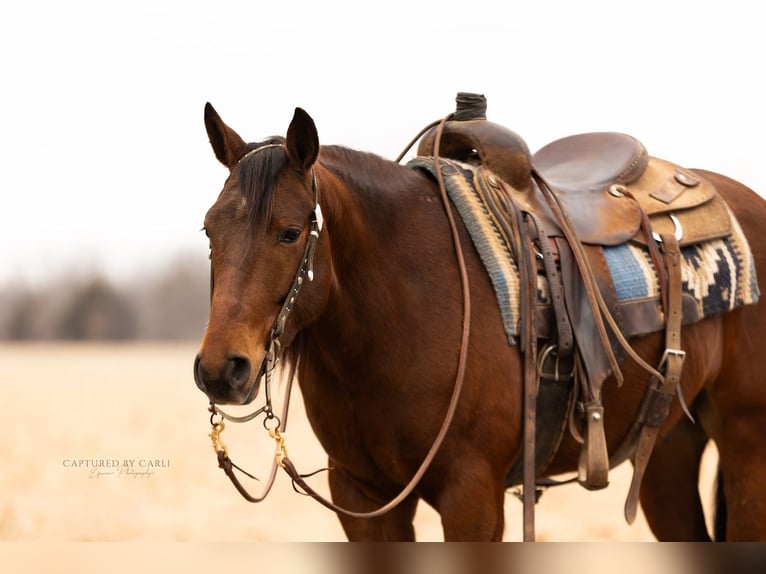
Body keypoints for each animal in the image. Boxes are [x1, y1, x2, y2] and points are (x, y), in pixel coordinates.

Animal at [193, 101, 766, 541]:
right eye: (208, 230)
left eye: (290, 233)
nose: (222, 370)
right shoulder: (362, 496)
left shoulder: (472, 495)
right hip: (668, 449)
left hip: (746, 445)